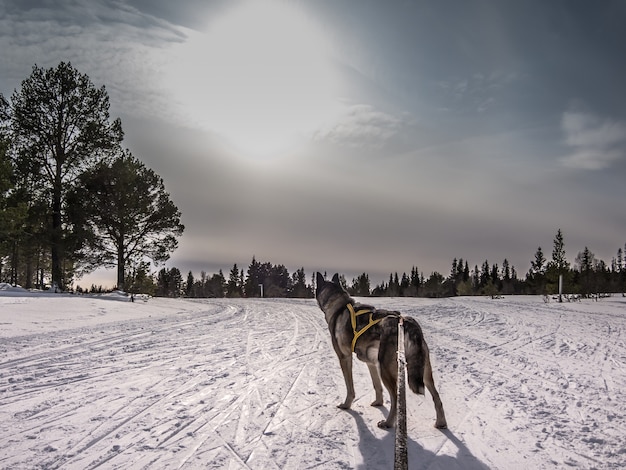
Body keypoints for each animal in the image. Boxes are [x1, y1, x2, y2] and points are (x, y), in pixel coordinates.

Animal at [316, 272, 444, 430]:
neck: (338, 305)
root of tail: (406, 321)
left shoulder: (345, 358)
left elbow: (349, 387)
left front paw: (346, 405)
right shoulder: (371, 363)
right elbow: (377, 386)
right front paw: (378, 403)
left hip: (386, 369)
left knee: (395, 398)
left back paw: (388, 423)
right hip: (423, 372)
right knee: (437, 398)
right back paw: (441, 423)